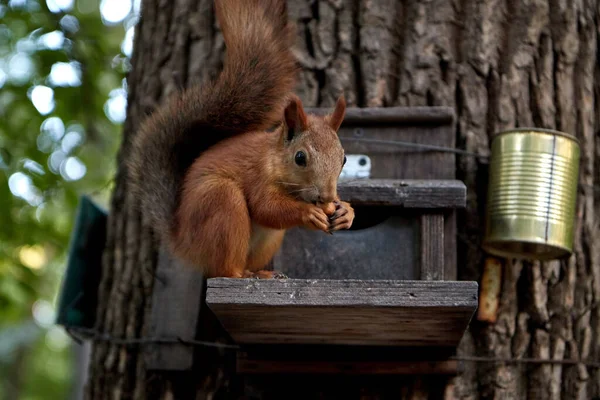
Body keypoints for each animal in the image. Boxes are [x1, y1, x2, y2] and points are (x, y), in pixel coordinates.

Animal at [126, 0, 352, 278]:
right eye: (300, 158)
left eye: (344, 159)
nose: (327, 197)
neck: (274, 159)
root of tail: (184, 242)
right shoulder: (257, 176)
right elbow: (266, 207)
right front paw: (308, 212)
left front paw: (346, 212)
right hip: (221, 202)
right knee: (225, 268)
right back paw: (242, 274)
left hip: (268, 240)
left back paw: (264, 274)